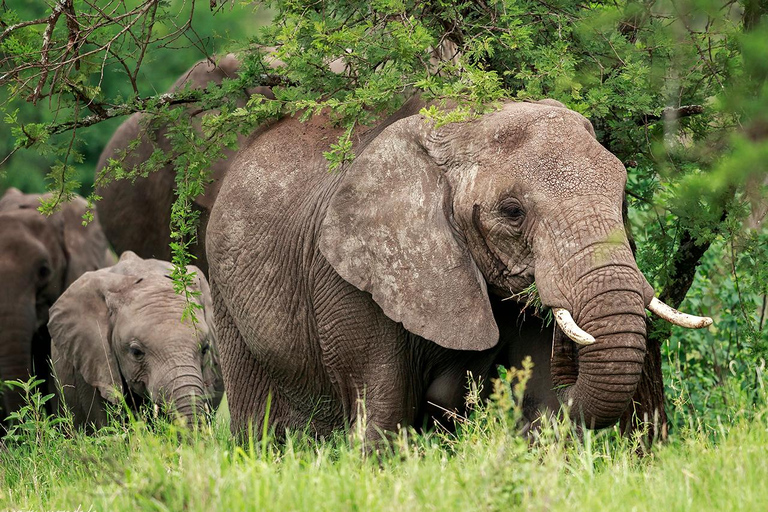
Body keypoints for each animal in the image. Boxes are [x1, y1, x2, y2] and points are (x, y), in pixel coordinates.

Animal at [207, 95, 712, 436]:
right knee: (259, 421)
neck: (464, 125)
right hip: (226, 298)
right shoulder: (348, 277)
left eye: (623, 196)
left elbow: (539, 401)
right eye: (513, 212)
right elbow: (383, 407)